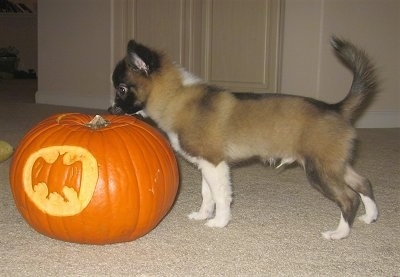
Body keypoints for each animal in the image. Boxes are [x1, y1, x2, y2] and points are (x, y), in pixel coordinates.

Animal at [108, 37, 378, 239]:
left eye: (121, 89)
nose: (110, 110)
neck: (176, 96)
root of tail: (335, 108)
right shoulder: (206, 165)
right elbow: (207, 195)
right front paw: (203, 214)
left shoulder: (215, 164)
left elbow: (220, 196)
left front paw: (219, 222)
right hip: (335, 165)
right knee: (364, 182)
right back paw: (370, 216)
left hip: (320, 171)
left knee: (349, 198)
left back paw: (340, 233)